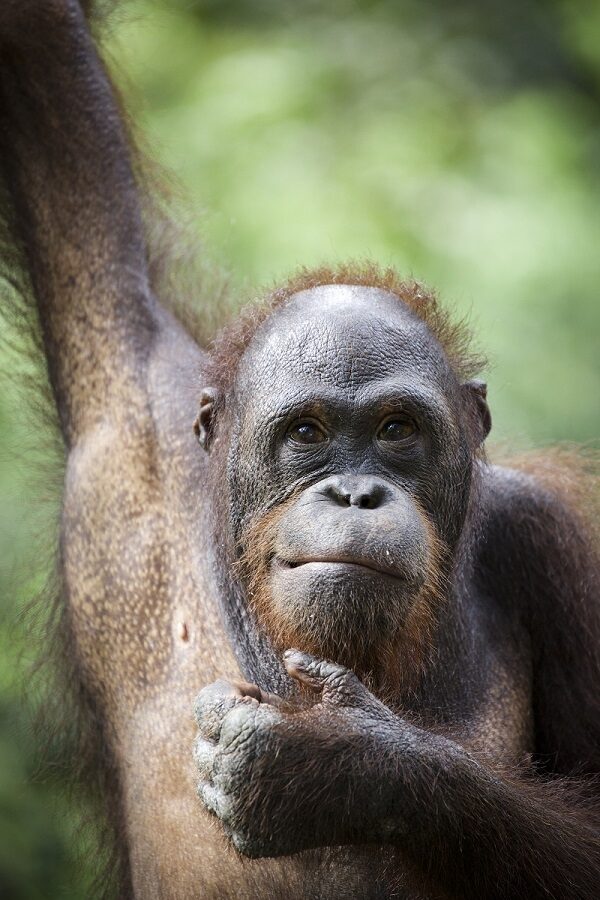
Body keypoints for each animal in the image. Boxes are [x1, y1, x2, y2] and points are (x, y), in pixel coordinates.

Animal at [0, 2, 598, 899]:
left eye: (396, 430)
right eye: (308, 434)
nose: (354, 493)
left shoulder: (554, 548)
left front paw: (336, 765)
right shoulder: (129, 423)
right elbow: (55, 117)